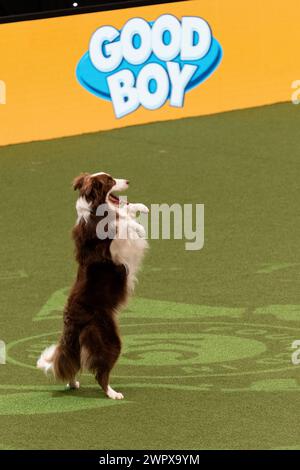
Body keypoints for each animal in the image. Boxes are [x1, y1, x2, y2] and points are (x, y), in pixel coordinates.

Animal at [37, 173, 149, 400]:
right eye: (111, 181)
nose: (128, 181)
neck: (96, 210)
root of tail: (70, 319)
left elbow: (125, 211)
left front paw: (140, 208)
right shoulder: (110, 247)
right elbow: (123, 224)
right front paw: (137, 226)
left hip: (77, 344)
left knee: (72, 364)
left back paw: (73, 384)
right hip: (107, 338)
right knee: (100, 373)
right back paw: (113, 393)